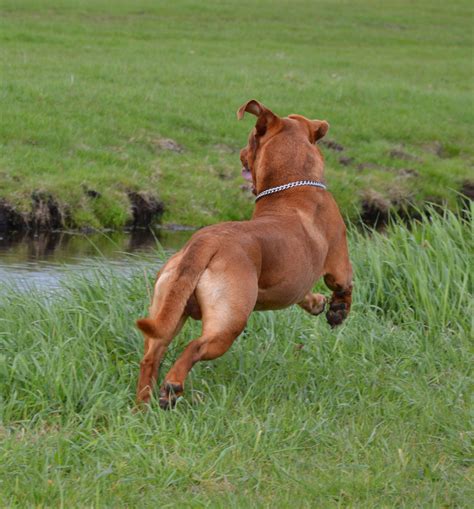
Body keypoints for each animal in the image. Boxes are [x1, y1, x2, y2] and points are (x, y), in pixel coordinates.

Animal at [136, 100, 352, 408]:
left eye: (251, 139)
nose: (240, 153)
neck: (294, 185)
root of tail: (205, 242)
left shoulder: (293, 284)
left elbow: (304, 295)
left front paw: (317, 303)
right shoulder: (338, 263)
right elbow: (344, 286)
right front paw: (337, 310)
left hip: (168, 313)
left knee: (151, 357)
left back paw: (143, 406)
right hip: (229, 322)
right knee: (195, 347)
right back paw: (173, 386)